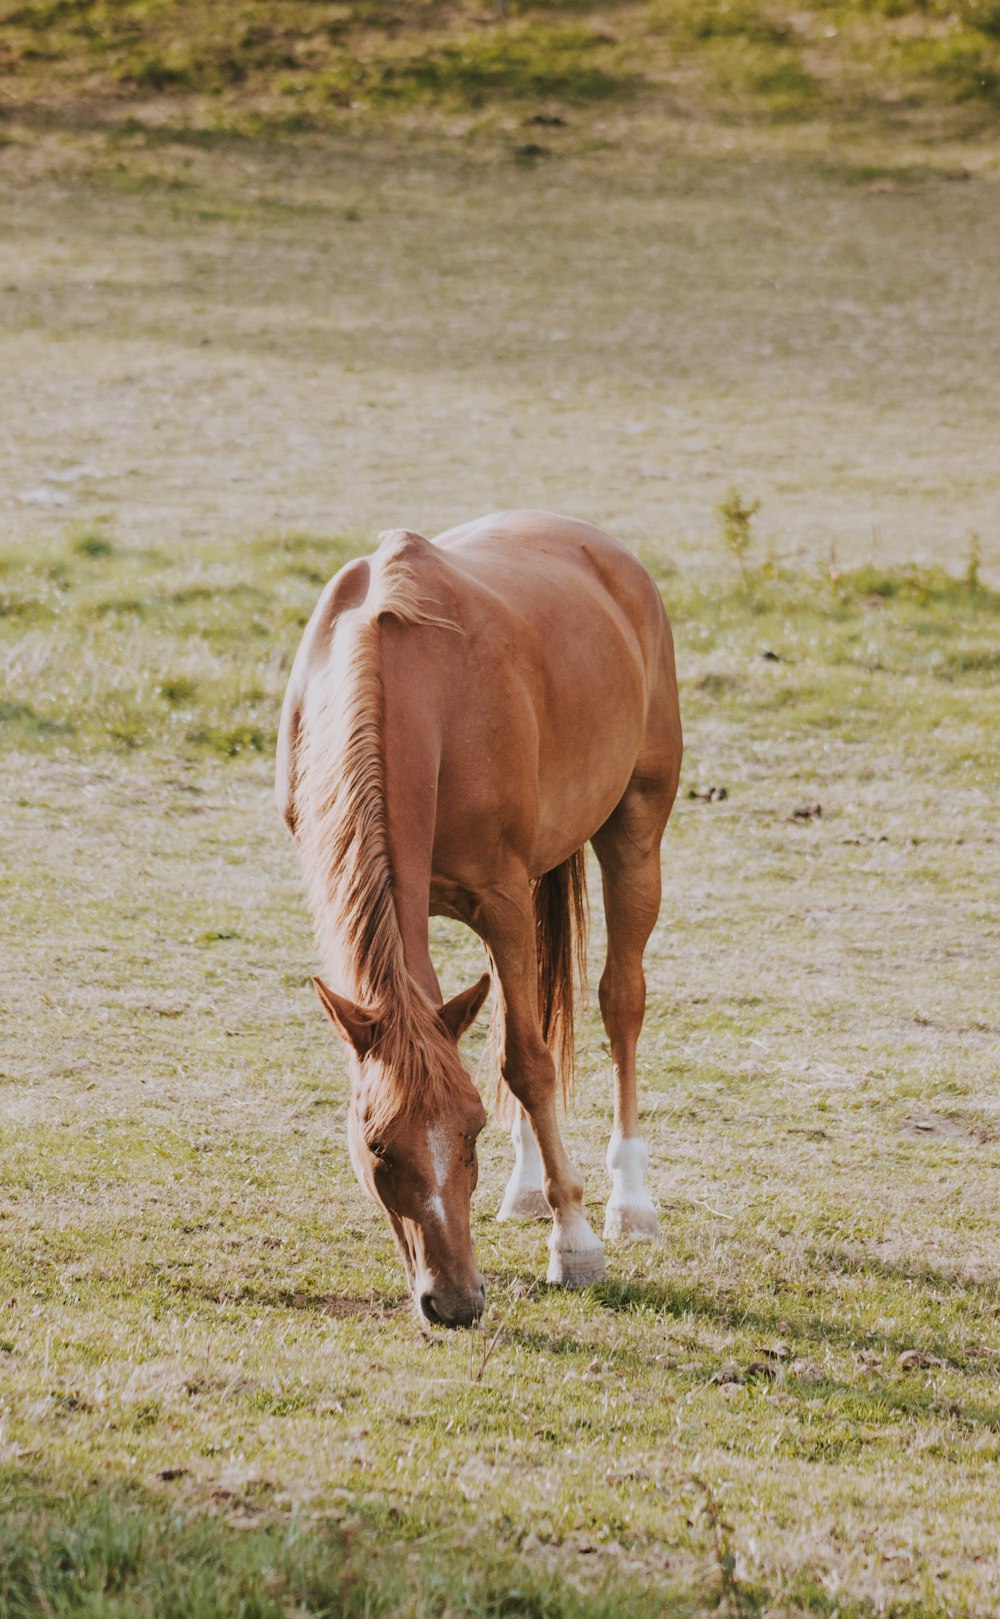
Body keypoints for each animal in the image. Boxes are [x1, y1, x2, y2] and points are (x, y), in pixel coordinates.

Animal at [276, 508, 682, 1327]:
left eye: (470, 1132)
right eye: (377, 1147)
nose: (457, 1301)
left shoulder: (499, 897)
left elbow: (527, 1061)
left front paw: (575, 1242)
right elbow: (513, 1049)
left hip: (633, 831)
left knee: (618, 1004)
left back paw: (630, 1200)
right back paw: (528, 1189)